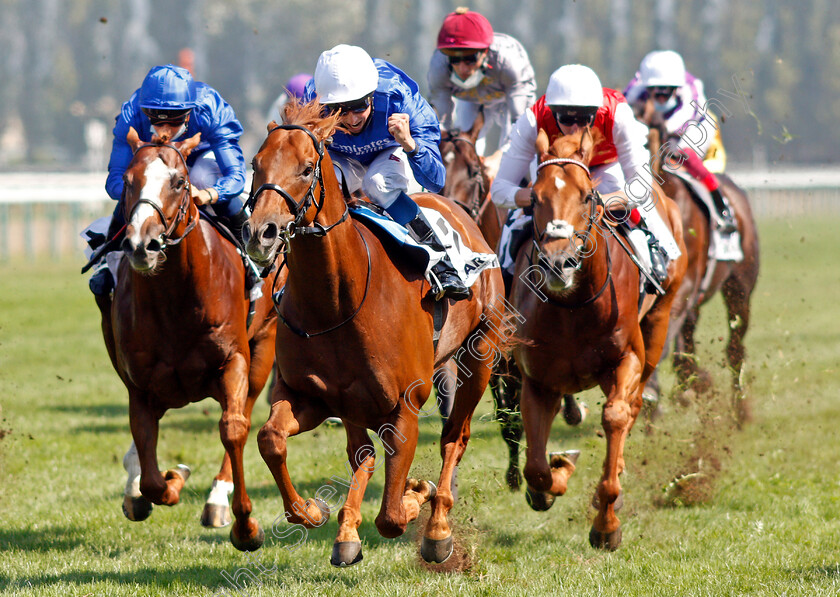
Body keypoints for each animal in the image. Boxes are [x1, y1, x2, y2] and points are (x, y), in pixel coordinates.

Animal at [94, 128, 278, 552]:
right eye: (127, 181)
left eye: (179, 182)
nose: (141, 245)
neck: (175, 298)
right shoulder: (140, 385)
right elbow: (151, 473)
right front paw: (170, 478)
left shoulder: (234, 360)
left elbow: (233, 428)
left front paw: (245, 526)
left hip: (264, 345)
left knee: (244, 412)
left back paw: (217, 501)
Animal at [243, 100, 506, 564]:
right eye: (256, 164)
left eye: (307, 168)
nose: (261, 233)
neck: (336, 301)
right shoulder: (308, 396)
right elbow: (271, 438)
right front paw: (310, 511)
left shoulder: (404, 405)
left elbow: (392, 517)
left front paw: (418, 495)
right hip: (352, 403)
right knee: (361, 454)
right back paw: (347, 531)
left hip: (480, 354)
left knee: (454, 438)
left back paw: (437, 527)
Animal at [512, 127, 688, 548]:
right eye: (534, 198)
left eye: (587, 195)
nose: (558, 264)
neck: (573, 308)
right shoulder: (538, 380)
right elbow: (536, 467)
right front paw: (553, 478)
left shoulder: (627, 358)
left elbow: (616, 415)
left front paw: (606, 523)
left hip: (658, 324)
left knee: (634, 403)